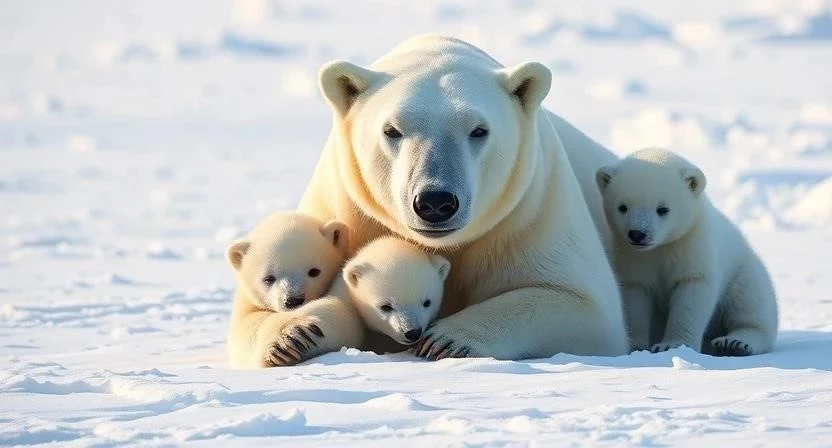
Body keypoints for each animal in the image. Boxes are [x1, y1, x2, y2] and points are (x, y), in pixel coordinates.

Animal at [290, 34, 629, 362]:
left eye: (479, 130)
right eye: (392, 130)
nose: (435, 202)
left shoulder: (532, 211)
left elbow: (585, 306)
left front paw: (445, 340)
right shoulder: (347, 210)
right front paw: (296, 333)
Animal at [595, 147, 779, 356]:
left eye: (663, 209)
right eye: (623, 207)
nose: (637, 234)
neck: (662, 247)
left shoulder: (692, 247)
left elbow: (691, 294)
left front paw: (672, 345)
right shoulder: (634, 258)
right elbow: (636, 298)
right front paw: (636, 345)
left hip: (745, 270)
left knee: (750, 304)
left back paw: (734, 343)